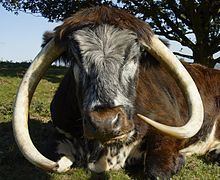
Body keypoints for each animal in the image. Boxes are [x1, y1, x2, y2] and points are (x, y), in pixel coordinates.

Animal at [12, 5, 219, 179]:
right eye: (75, 58)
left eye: (135, 57)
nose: (105, 122)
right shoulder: (59, 135)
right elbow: (58, 162)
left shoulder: (168, 129)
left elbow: (156, 171)